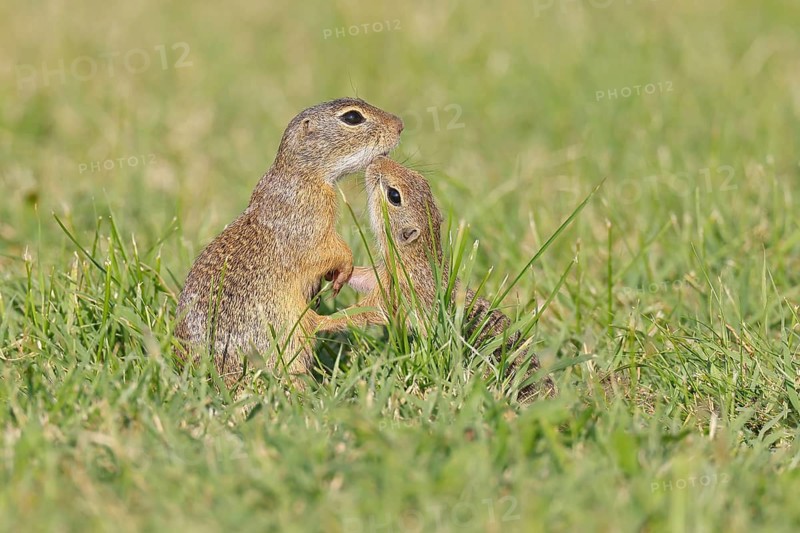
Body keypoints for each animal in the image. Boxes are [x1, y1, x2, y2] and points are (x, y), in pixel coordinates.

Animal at [175, 98, 404, 388]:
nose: (400, 124)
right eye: (352, 117)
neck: (302, 175)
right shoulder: (309, 223)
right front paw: (343, 271)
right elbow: (329, 250)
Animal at [319, 156, 556, 401]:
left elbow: (365, 312)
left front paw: (321, 322)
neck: (417, 259)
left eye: (394, 196)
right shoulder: (384, 277)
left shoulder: (396, 294)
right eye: (422, 179)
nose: (378, 159)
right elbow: (365, 278)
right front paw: (336, 270)